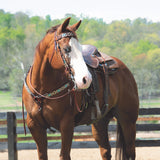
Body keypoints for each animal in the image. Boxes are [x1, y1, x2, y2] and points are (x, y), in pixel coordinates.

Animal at [22, 16, 139, 159]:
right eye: (66, 49)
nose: (86, 79)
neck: (43, 91)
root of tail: (125, 69)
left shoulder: (67, 125)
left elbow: (64, 155)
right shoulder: (35, 126)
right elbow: (42, 155)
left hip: (128, 121)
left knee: (130, 151)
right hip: (100, 122)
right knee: (106, 151)